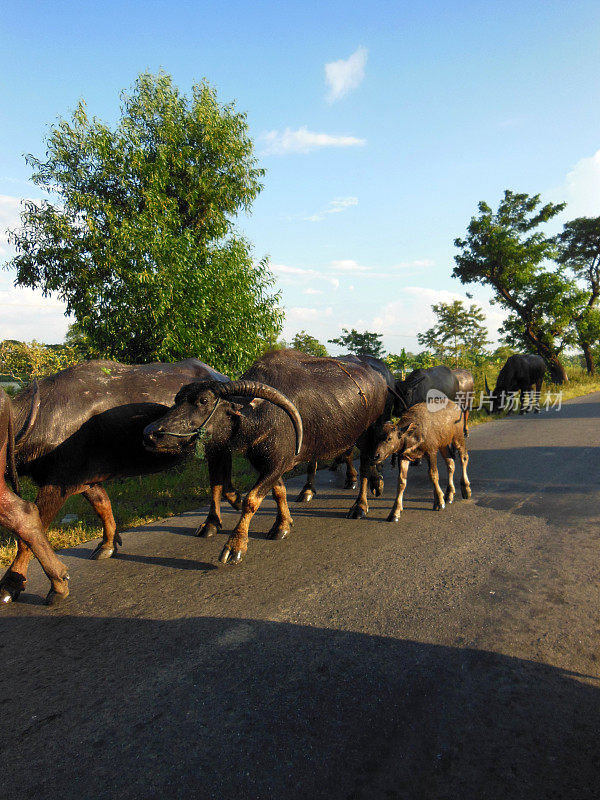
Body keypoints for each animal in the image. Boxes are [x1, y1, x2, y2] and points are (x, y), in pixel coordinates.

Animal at [144, 348, 396, 564]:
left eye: (204, 401)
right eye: (177, 400)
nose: (150, 433)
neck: (259, 414)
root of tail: (379, 378)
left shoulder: (277, 463)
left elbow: (251, 500)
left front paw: (235, 546)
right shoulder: (267, 462)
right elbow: (278, 492)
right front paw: (283, 525)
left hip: (371, 432)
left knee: (366, 466)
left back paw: (360, 505)